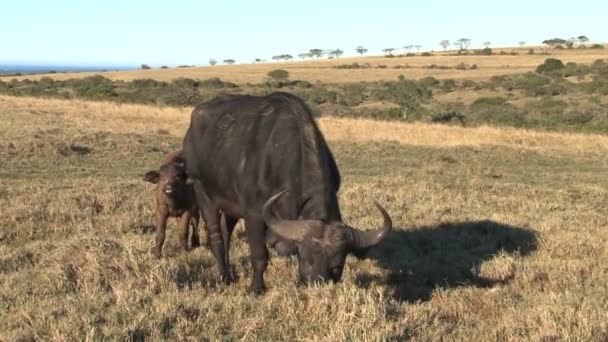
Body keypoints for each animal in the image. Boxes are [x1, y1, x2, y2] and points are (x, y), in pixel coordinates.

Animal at [183, 91, 392, 294]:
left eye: (337, 266)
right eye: (306, 259)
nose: (317, 284)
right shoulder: (254, 215)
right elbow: (260, 256)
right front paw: (256, 288)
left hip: (230, 205)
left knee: (226, 233)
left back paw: (231, 272)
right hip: (203, 193)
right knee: (215, 237)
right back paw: (225, 277)